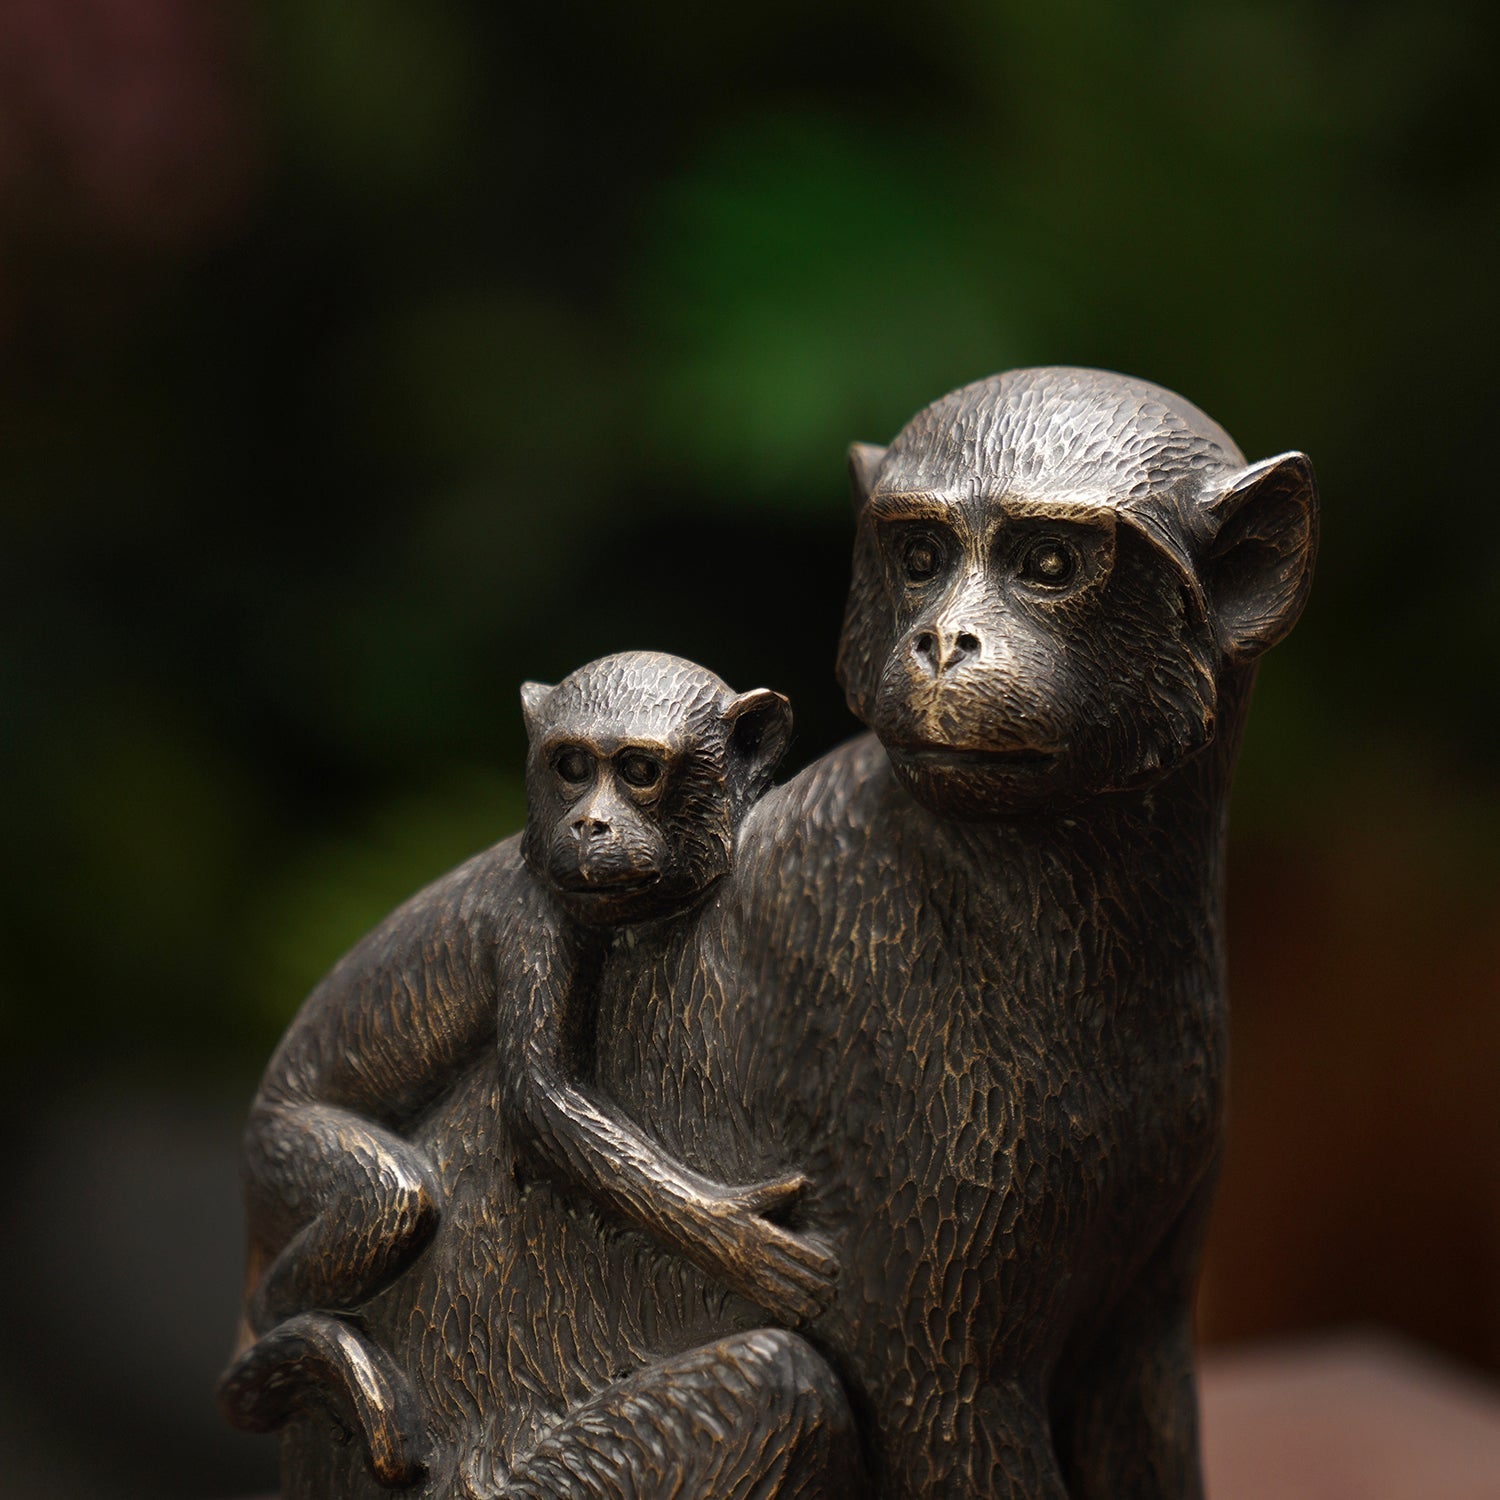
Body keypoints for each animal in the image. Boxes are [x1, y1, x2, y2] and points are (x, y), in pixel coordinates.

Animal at [221, 651, 850, 1495]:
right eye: (571, 766)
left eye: (640, 770)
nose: (589, 825)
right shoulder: (537, 921)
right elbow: (539, 1103)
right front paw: (739, 1237)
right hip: (280, 1152)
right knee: (386, 1202)